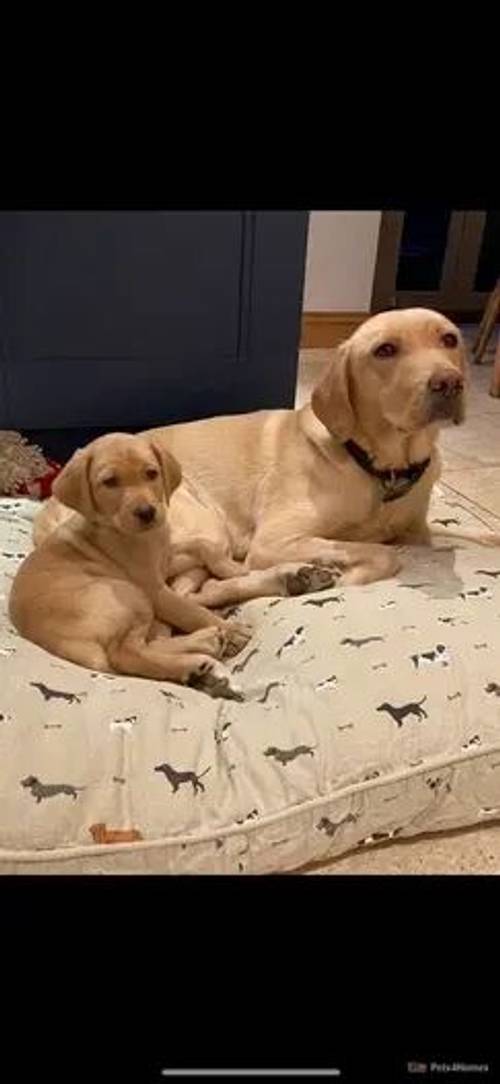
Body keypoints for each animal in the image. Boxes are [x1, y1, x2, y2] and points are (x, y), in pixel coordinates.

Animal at [8, 431, 249, 693]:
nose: (147, 512)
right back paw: (195, 658)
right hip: (128, 594)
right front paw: (233, 630)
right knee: (126, 654)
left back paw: (204, 643)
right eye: (110, 482)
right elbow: (190, 611)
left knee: (148, 643)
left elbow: (204, 546)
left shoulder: (166, 558)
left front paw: (236, 569)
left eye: (152, 473)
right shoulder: (153, 589)